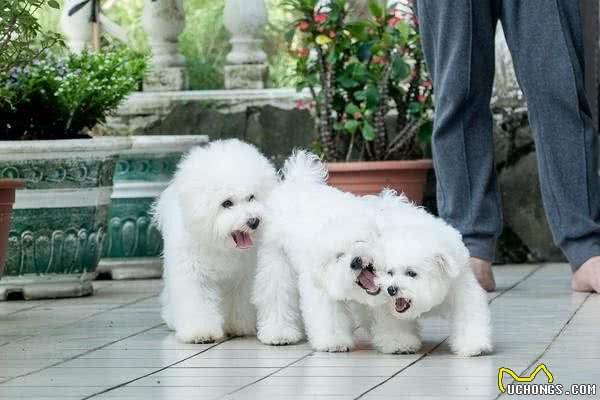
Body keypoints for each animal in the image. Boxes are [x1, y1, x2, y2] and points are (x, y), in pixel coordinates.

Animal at [154, 139, 278, 342]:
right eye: (227, 203)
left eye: (252, 197)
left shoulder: (244, 275)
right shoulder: (194, 273)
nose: (253, 221)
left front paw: (238, 326)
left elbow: (239, 300)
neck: (221, 245)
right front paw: (200, 332)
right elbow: (197, 301)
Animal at [253, 151, 492, 356]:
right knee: (277, 296)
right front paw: (337, 342)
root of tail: (298, 182)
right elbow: (330, 316)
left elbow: (468, 314)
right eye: (338, 257)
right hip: (276, 262)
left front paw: (473, 344)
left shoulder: (460, 286)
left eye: (360, 241)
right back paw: (279, 333)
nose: (356, 261)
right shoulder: (323, 290)